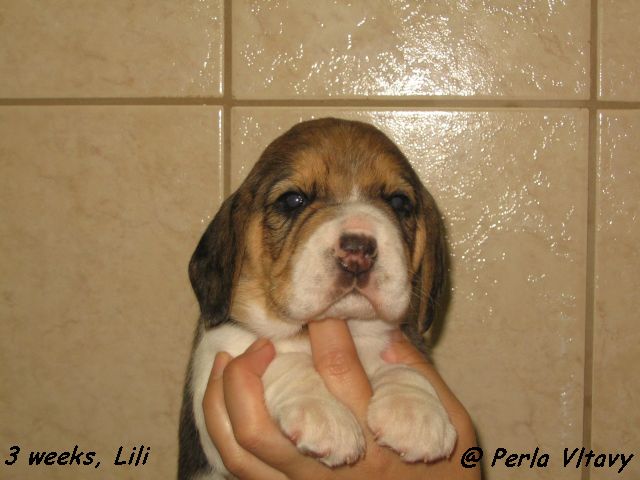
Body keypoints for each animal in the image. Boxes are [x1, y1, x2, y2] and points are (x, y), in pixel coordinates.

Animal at [178, 117, 456, 479]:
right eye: (293, 200)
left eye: (398, 203)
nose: (358, 250)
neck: (347, 326)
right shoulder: (215, 365)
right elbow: (277, 356)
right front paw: (321, 410)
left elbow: (403, 368)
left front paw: (414, 408)